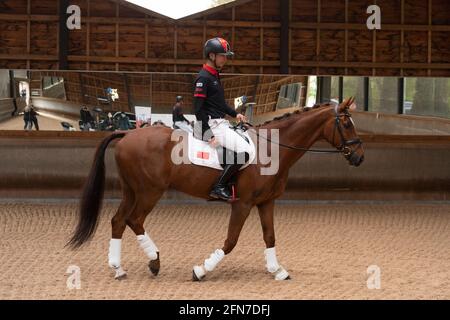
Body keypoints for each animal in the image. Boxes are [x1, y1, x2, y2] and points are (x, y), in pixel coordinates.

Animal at [68, 97, 364, 280]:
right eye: (345, 123)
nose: (359, 158)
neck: (272, 149)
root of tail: (128, 134)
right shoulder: (242, 204)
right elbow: (231, 241)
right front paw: (201, 270)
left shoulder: (266, 202)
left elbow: (270, 237)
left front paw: (277, 270)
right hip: (150, 192)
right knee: (134, 220)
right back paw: (154, 261)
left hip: (132, 190)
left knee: (118, 221)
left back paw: (118, 268)